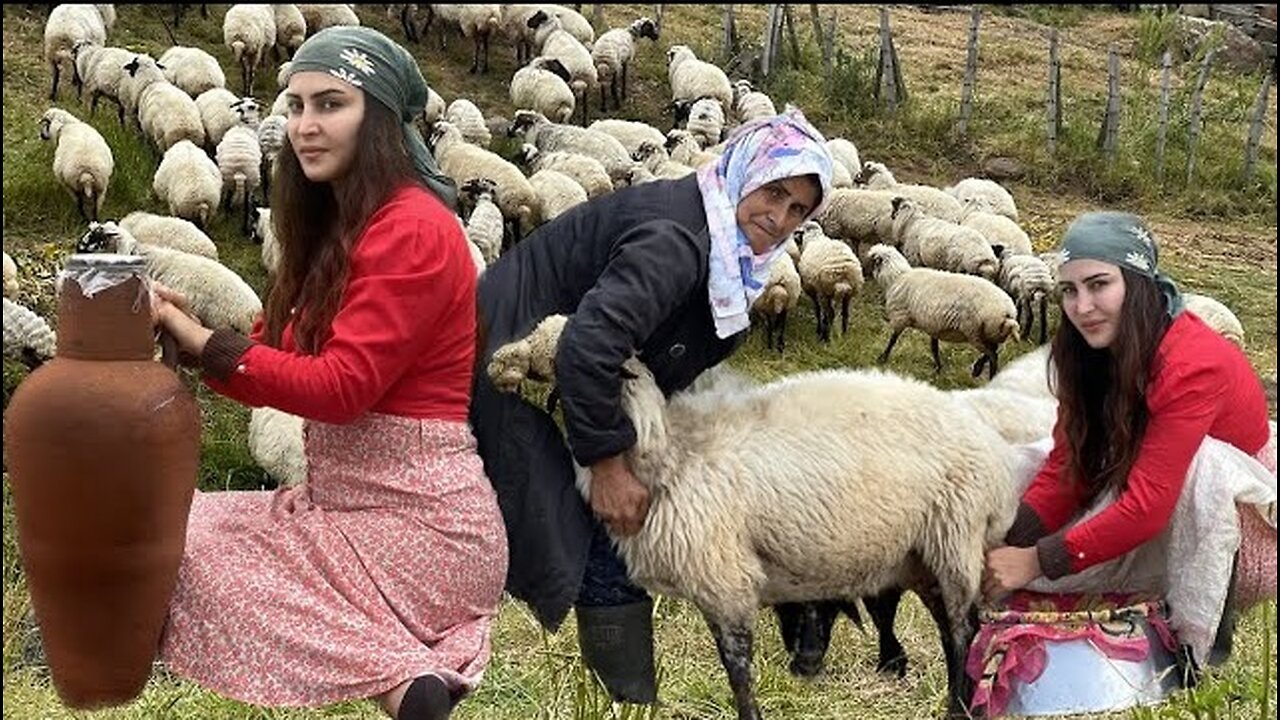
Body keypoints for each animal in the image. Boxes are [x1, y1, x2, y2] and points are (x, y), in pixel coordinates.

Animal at [865, 242, 1024, 381]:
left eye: (873, 260)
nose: (864, 272)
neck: (896, 277)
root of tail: (1008, 312)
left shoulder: (900, 318)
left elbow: (892, 340)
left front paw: (882, 358)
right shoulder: (933, 326)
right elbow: (934, 348)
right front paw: (938, 368)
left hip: (975, 332)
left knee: (993, 355)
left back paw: (986, 374)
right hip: (992, 333)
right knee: (994, 351)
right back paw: (978, 369)